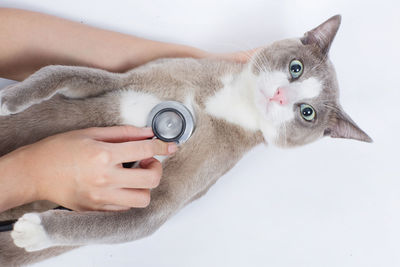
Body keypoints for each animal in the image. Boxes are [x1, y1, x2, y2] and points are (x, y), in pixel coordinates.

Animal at [0, 15, 372, 267]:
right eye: (296, 68)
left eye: (307, 112)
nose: (280, 95)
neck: (221, 103)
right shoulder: (128, 79)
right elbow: (60, 72)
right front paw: (9, 99)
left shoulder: (165, 200)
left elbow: (129, 220)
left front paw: (34, 230)